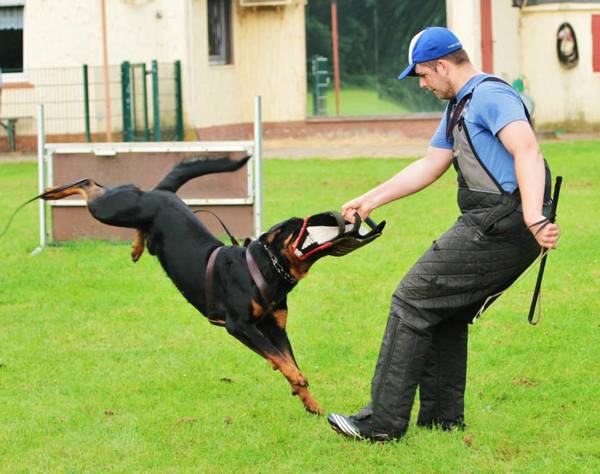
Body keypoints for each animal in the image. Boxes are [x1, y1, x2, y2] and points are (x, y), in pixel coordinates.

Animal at [39, 157, 382, 412]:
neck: (268, 270)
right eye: (296, 226)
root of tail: (164, 192)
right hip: (114, 209)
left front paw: (310, 402)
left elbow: (285, 357)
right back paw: (51, 192)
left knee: (134, 226)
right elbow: (278, 357)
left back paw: (136, 248)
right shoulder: (239, 325)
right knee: (89, 186)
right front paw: (298, 380)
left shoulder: (276, 327)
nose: (336, 216)